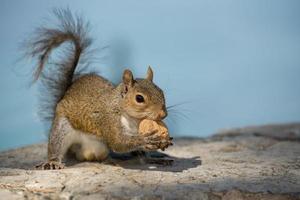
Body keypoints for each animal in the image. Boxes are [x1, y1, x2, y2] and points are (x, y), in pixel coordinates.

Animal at [25, 8, 172, 170]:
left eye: (161, 92)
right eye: (139, 98)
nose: (163, 114)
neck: (133, 119)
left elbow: (140, 153)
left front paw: (153, 155)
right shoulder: (108, 121)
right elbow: (118, 142)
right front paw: (145, 140)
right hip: (62, 127)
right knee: (56, 144)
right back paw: (53, 161)